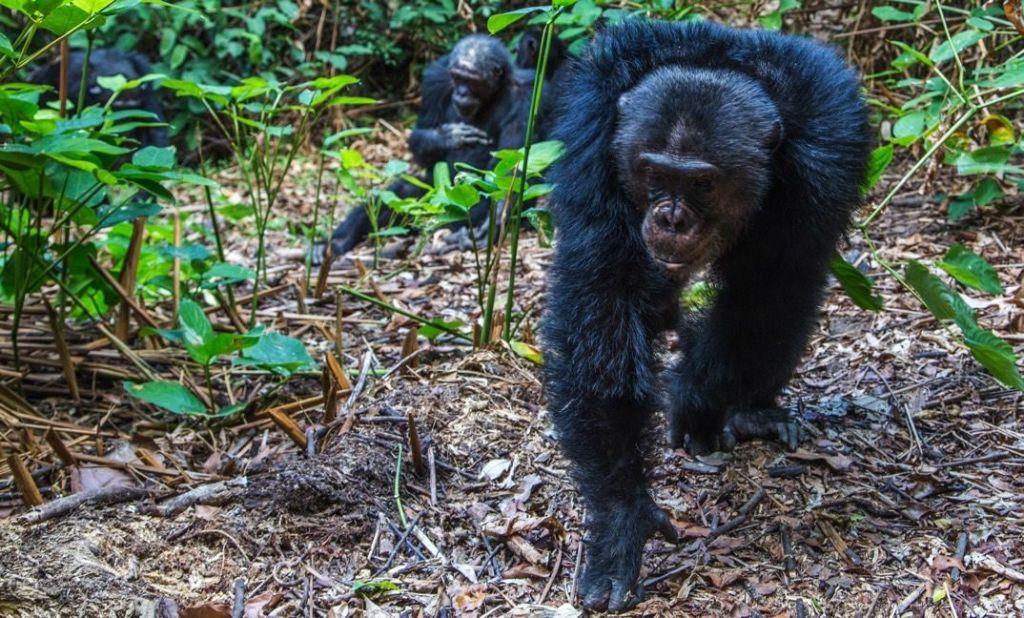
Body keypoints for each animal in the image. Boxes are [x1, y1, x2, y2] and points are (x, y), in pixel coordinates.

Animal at [321, 36, 536, 257]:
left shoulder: (528, 96)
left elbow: (515, 163)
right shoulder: (435, 80)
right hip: (434, 190)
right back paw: (335, 243)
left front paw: (499, 215)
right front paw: (447, 136)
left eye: (472, 81)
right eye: (457, 77)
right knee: (398, 193)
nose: (462, 93)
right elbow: (422, 133)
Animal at [540, 20, 868, 613]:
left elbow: (767, 292)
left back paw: (752, 410)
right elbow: (603, 295)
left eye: (701, 183)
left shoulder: (823, 164)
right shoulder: (594, 147)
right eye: (652, 172)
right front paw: (622, 515)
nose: (670, 218)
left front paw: (697, 404)